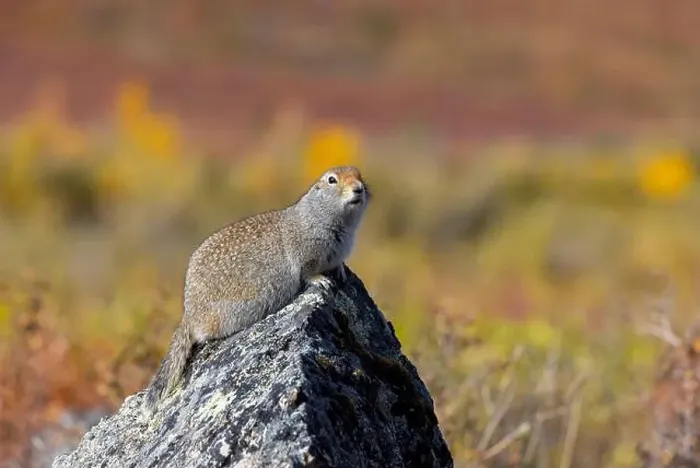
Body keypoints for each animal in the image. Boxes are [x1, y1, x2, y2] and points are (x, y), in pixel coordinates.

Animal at [141, 165, 370, 415]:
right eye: (332, 180)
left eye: (359, 174)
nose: (359, 188)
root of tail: (189, 314)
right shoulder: (306, 252)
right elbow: (307, 272)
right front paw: (321, 281)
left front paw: (340, 271)